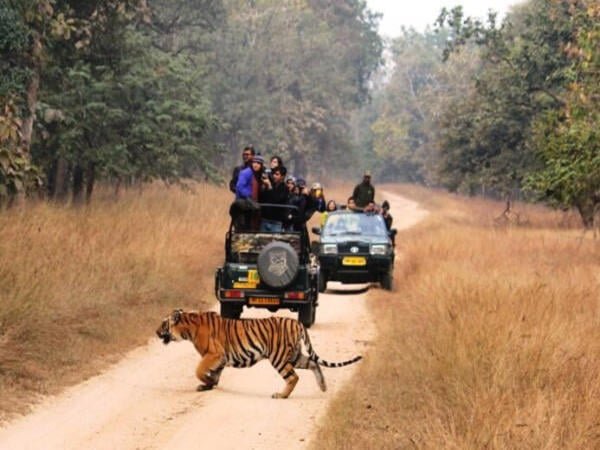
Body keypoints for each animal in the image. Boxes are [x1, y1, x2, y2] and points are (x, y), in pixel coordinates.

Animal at [155, 310, 360, 398]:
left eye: (163, 324)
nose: (155, 332)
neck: (188, 329)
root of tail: (297, 322)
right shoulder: (220, 358)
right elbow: (215, 374)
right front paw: (209, 385)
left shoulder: (213, 354)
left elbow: (199, 370)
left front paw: (205, 382)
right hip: (294, 355)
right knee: (313, 363)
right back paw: (323, 386)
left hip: (278, 357)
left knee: (293, 377)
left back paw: (281, 395)